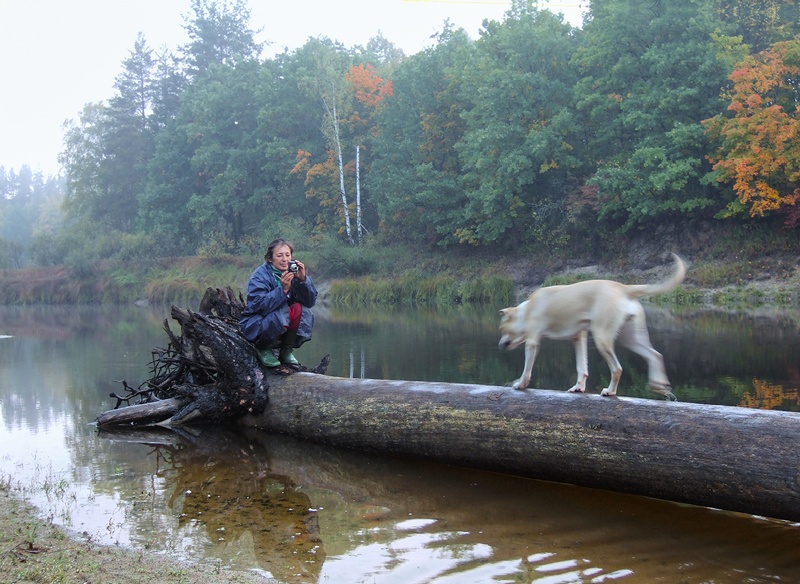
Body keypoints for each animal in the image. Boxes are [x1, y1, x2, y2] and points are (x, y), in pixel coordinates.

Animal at [496, 253, 684, 400]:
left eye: (502, 329)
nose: (499, 345)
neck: (526, 310)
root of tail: (624, 288)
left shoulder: (532, 342)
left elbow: (527, 369)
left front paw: (520, 384)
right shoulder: (579, 338)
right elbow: (582, 367)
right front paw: (578, 387)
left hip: (602, 338)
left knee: (617, 368)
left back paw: (610, 391)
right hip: (631, 338)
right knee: (655, 355)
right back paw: (660, 386)